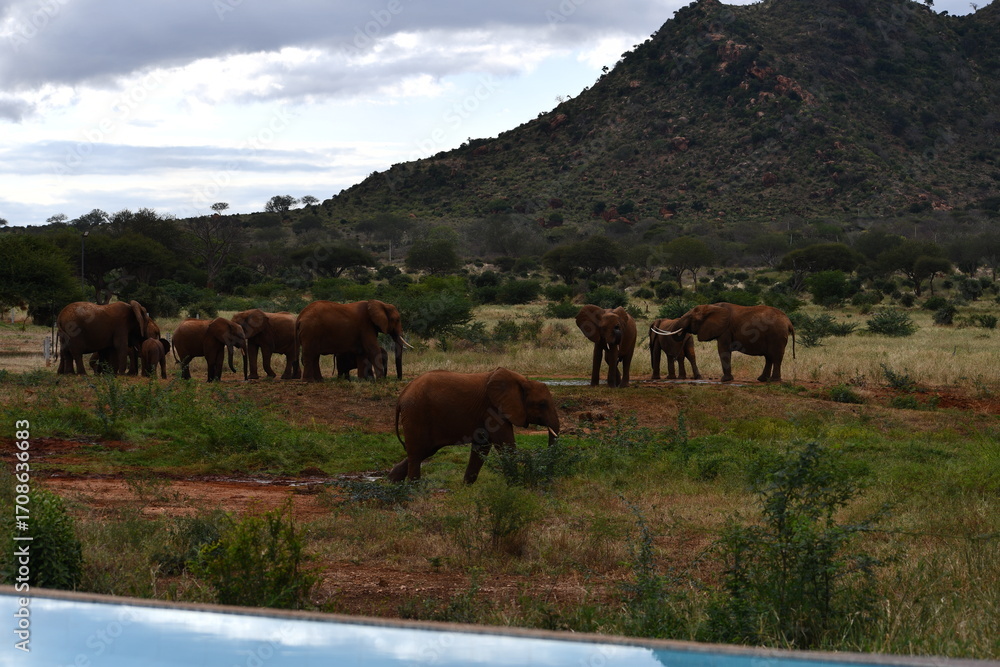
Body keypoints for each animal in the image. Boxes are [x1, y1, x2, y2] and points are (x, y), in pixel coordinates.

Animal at [388, 367, 560, 484]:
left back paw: (392, 481)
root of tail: (401, 396)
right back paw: (413, 489)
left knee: (425, 450)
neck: (523, 381)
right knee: (417, 451)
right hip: (416, 413)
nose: (548, 480)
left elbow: (482, 446)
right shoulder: (493, 409)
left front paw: (466, 487)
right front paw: (516, 484)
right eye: (542, 404)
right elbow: (505, 444)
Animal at [652, 303, 795, 382]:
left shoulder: (725, 329)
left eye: (692, 318)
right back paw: (762, 379)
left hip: (776, 335)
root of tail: (789, 321)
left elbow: (723, 349)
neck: (710, 307)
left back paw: (774, 380)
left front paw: (725, 380)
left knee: (775, 356)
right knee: (769, 357)